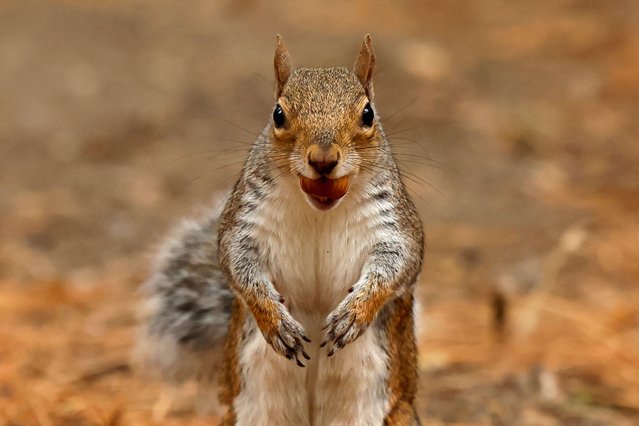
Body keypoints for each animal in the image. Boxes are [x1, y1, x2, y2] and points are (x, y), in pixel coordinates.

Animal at [135, 35, 424, 424]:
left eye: (368, 114)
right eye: (278, 114)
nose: (323, 161)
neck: (319, 212)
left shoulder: (395, 226)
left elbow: (397, 267)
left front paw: (353, 314)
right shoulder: (244, 224)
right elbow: (239, 268)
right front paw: (275, 323)